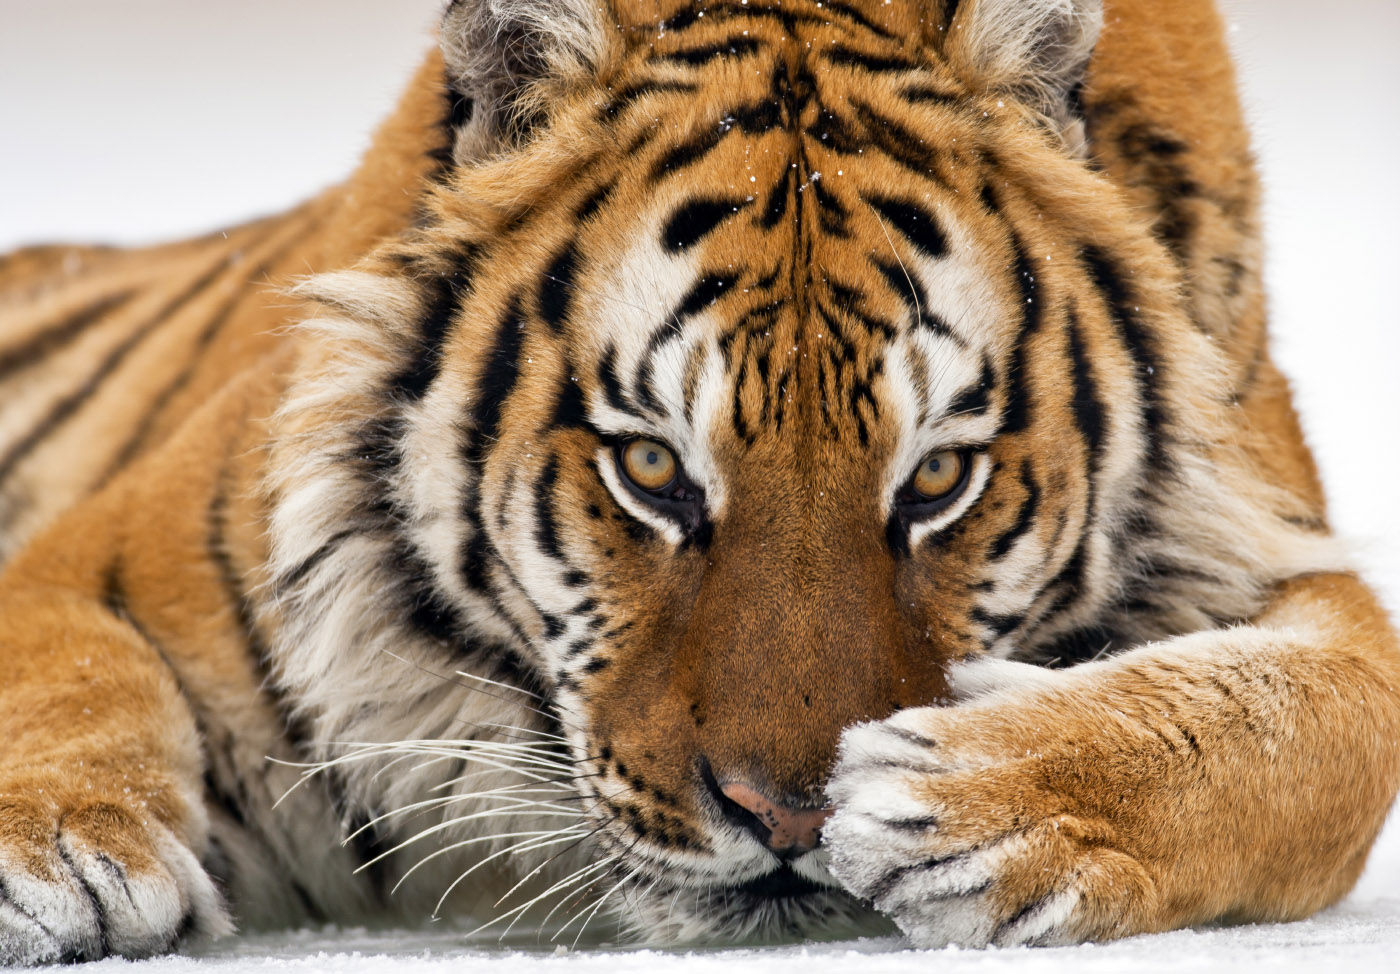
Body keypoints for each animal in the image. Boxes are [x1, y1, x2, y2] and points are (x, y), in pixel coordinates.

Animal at [1, 0, 1397, 963]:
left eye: (937, 476)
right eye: (651, 467)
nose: (786, 816)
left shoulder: (1280, 546)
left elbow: (1316, 722)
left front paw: (975, 804)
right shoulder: (114, 555)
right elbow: (67, 661)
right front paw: (54, 857)